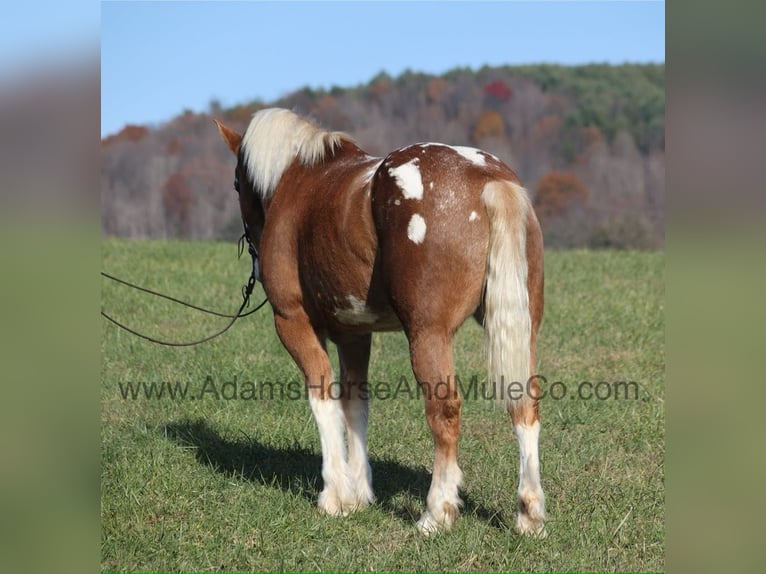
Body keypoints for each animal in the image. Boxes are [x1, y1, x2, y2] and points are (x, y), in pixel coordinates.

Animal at [214, 108, 546, 536]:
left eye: (237, 183)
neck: (299, 181)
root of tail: (486, 176)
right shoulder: (354, 334)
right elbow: (355, 404)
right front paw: (359, 493)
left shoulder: (292, 322)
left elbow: (323, 400)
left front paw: (335, 495)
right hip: (524, 330)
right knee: (524, 405)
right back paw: (529, 513)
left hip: (427, 335)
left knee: (445, 411)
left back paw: (436, 513)